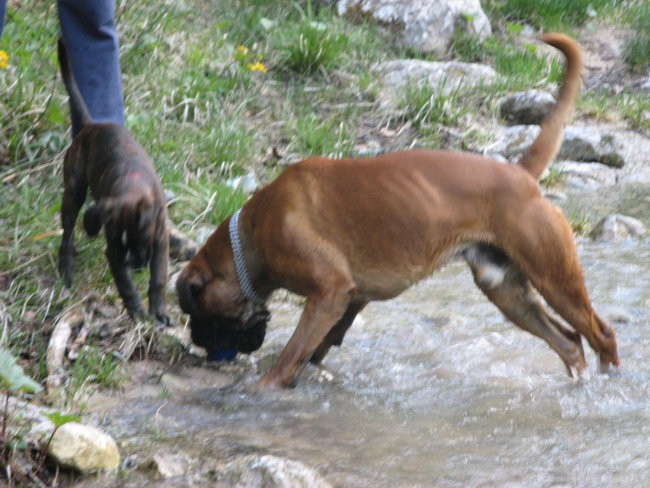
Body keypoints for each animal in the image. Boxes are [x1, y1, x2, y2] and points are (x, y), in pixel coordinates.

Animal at [57, 39, 171, 328]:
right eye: (121, 243)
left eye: (142, 241)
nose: (134, 264)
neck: (133, 188)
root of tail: (90, 126)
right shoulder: (114, 252)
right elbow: (125, 285)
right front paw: (137, 312)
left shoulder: (160, 240)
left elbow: (159, 278)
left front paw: (159, 310)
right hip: (74, 191)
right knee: (67, 230)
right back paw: (66, 267)